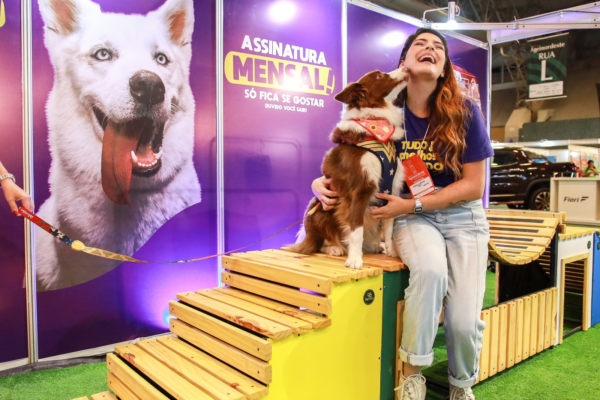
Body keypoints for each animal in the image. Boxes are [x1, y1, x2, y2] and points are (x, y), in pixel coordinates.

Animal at [288, 69, 408, 268]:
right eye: (380, 76)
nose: (406, 68)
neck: (375, 126)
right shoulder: (359, 189)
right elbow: (356, 229)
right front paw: (355, 259)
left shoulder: (392, 189)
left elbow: (389, 228)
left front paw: (392, 252)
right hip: (318, 208)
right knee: (315, 244)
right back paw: (334, 248)